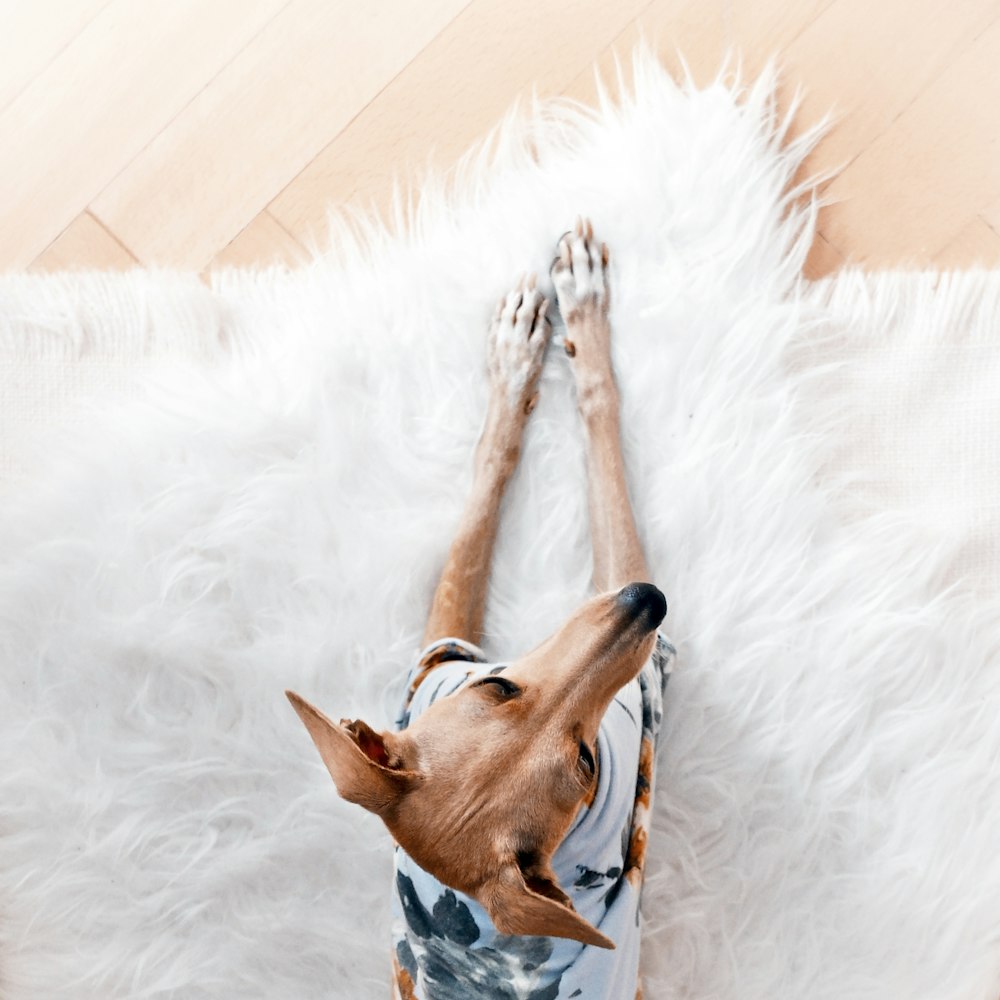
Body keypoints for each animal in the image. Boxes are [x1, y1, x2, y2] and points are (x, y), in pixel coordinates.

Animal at [286, 221, 672, 1000]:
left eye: (498, 685)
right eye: (588, 765)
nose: (649, 599)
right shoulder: (456, 643)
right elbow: (581, 422)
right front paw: (569, 315)